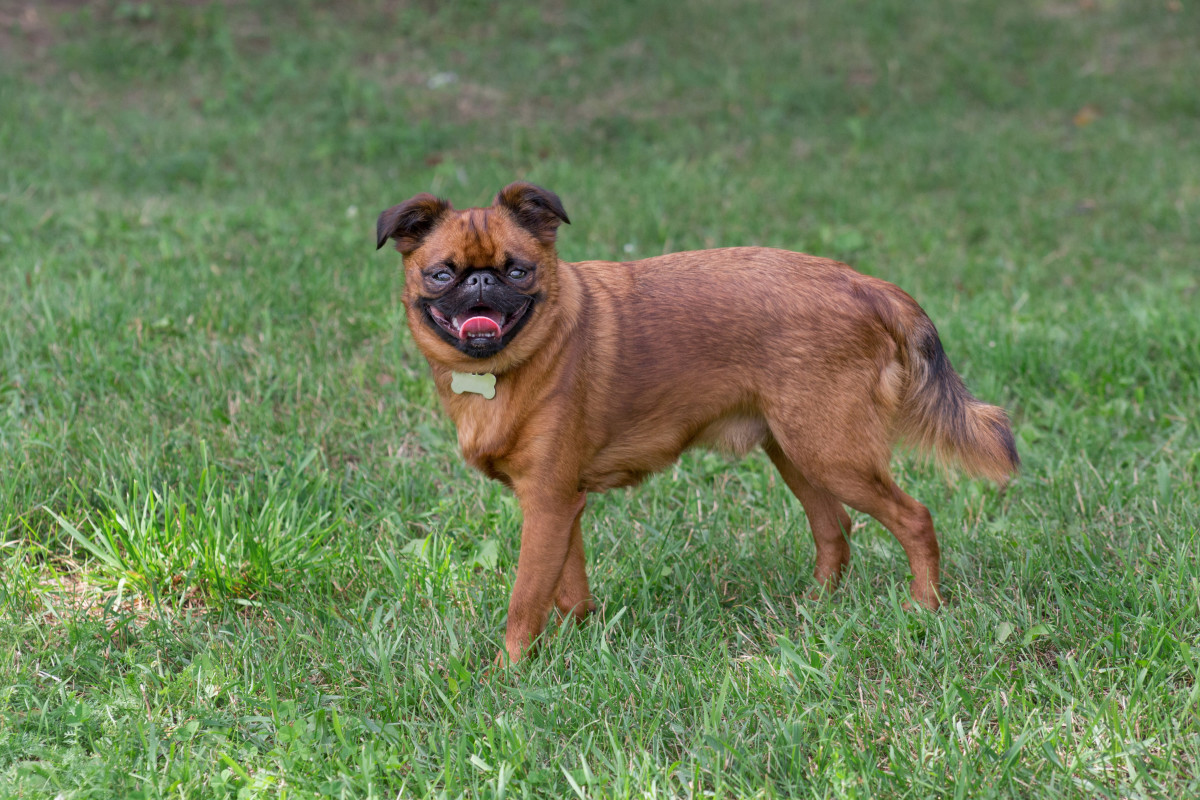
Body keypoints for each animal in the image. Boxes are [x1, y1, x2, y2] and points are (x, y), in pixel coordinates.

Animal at [379, 181, 1017, 662]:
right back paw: (816, 610)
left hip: (833, 454)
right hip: (798, 451)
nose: (480, 281)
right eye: (442, 275)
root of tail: (866, 285)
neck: (506, 368)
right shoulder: (560, 507)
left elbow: (524, 600)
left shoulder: (547, 504)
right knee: (834, 527)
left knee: (914, 519)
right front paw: (580, 638)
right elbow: (567, 587)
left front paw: (509, 673)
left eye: (516, 271)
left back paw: (924, 607)